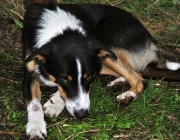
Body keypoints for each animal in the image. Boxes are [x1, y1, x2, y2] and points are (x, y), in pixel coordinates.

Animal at [22, 1, 180, 139]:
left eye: (88, 76)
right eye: (64, 78)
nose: (82, 114)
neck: (61, 30)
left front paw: (55, 103)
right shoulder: (29, 73)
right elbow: (35, 104)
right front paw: (36, 127)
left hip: (108, 44)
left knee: (139, 78)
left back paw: (128, 95)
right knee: (137, 72)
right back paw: (119, 83)